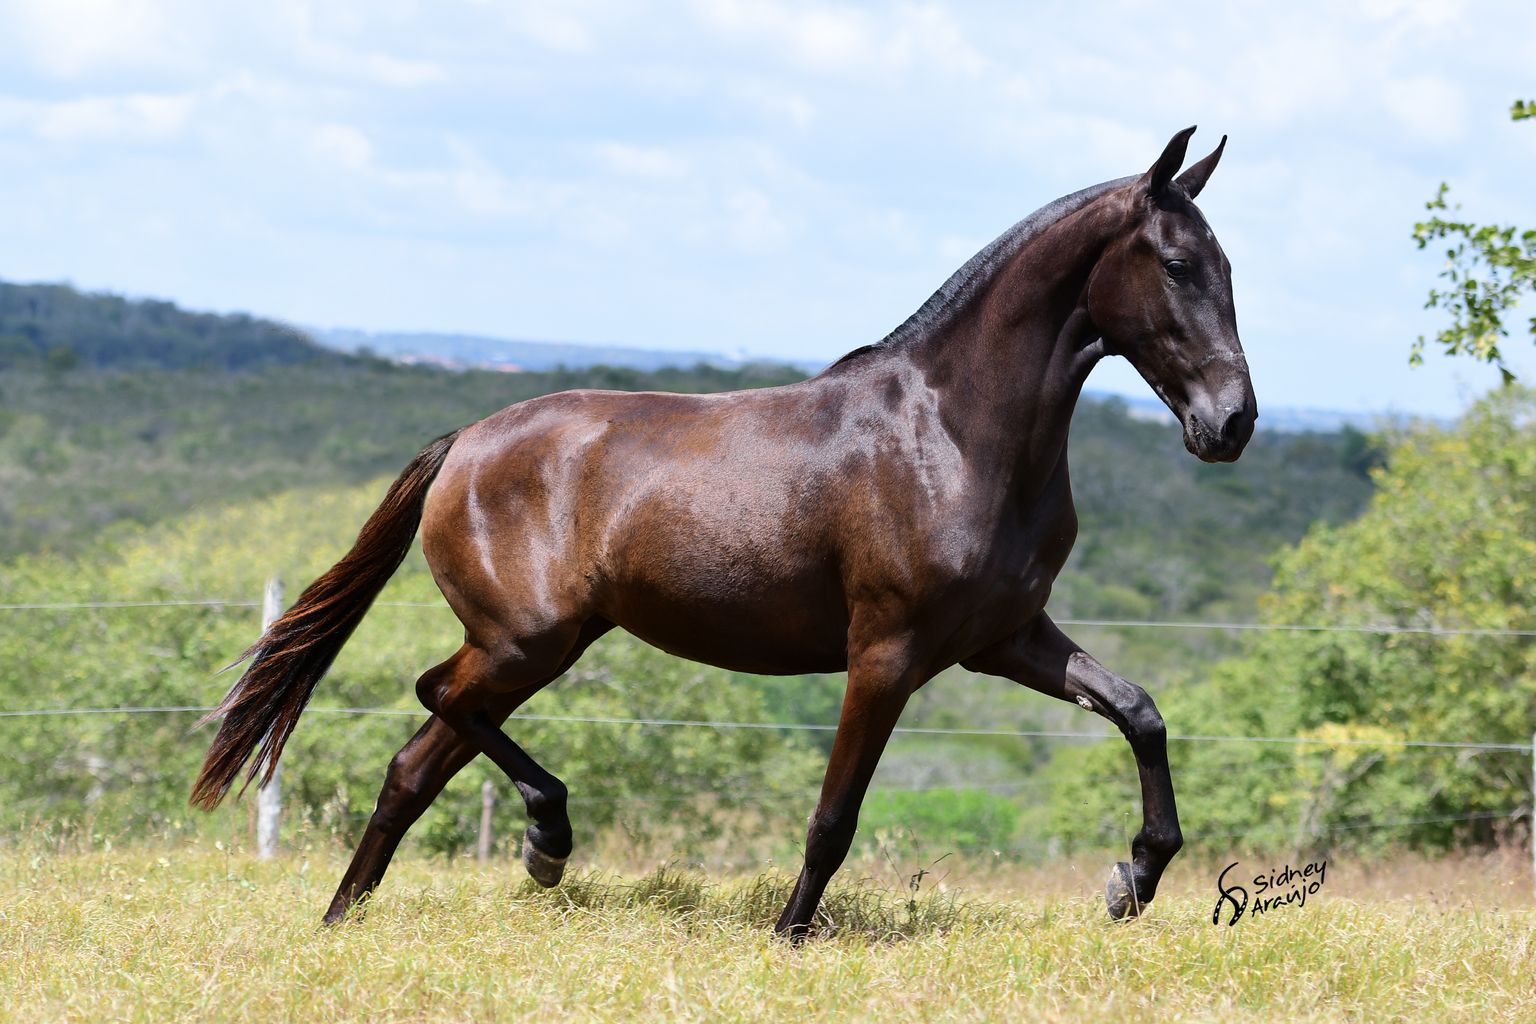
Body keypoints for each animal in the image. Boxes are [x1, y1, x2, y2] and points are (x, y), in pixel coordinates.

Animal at [192, 126, 1255, 935]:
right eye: (1175, 264)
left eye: (1230, 267)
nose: (1233, 423)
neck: (950, 433)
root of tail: (465, 444)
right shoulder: (889, 651)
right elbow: (835, 815)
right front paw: (788, 937)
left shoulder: (1001, 639)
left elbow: (1139, 711)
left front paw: (1135, 879)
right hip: (527, 640)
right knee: (435, 697)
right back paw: (546, 839)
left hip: (534, 646)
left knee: (412, 766)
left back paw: (351, 916)